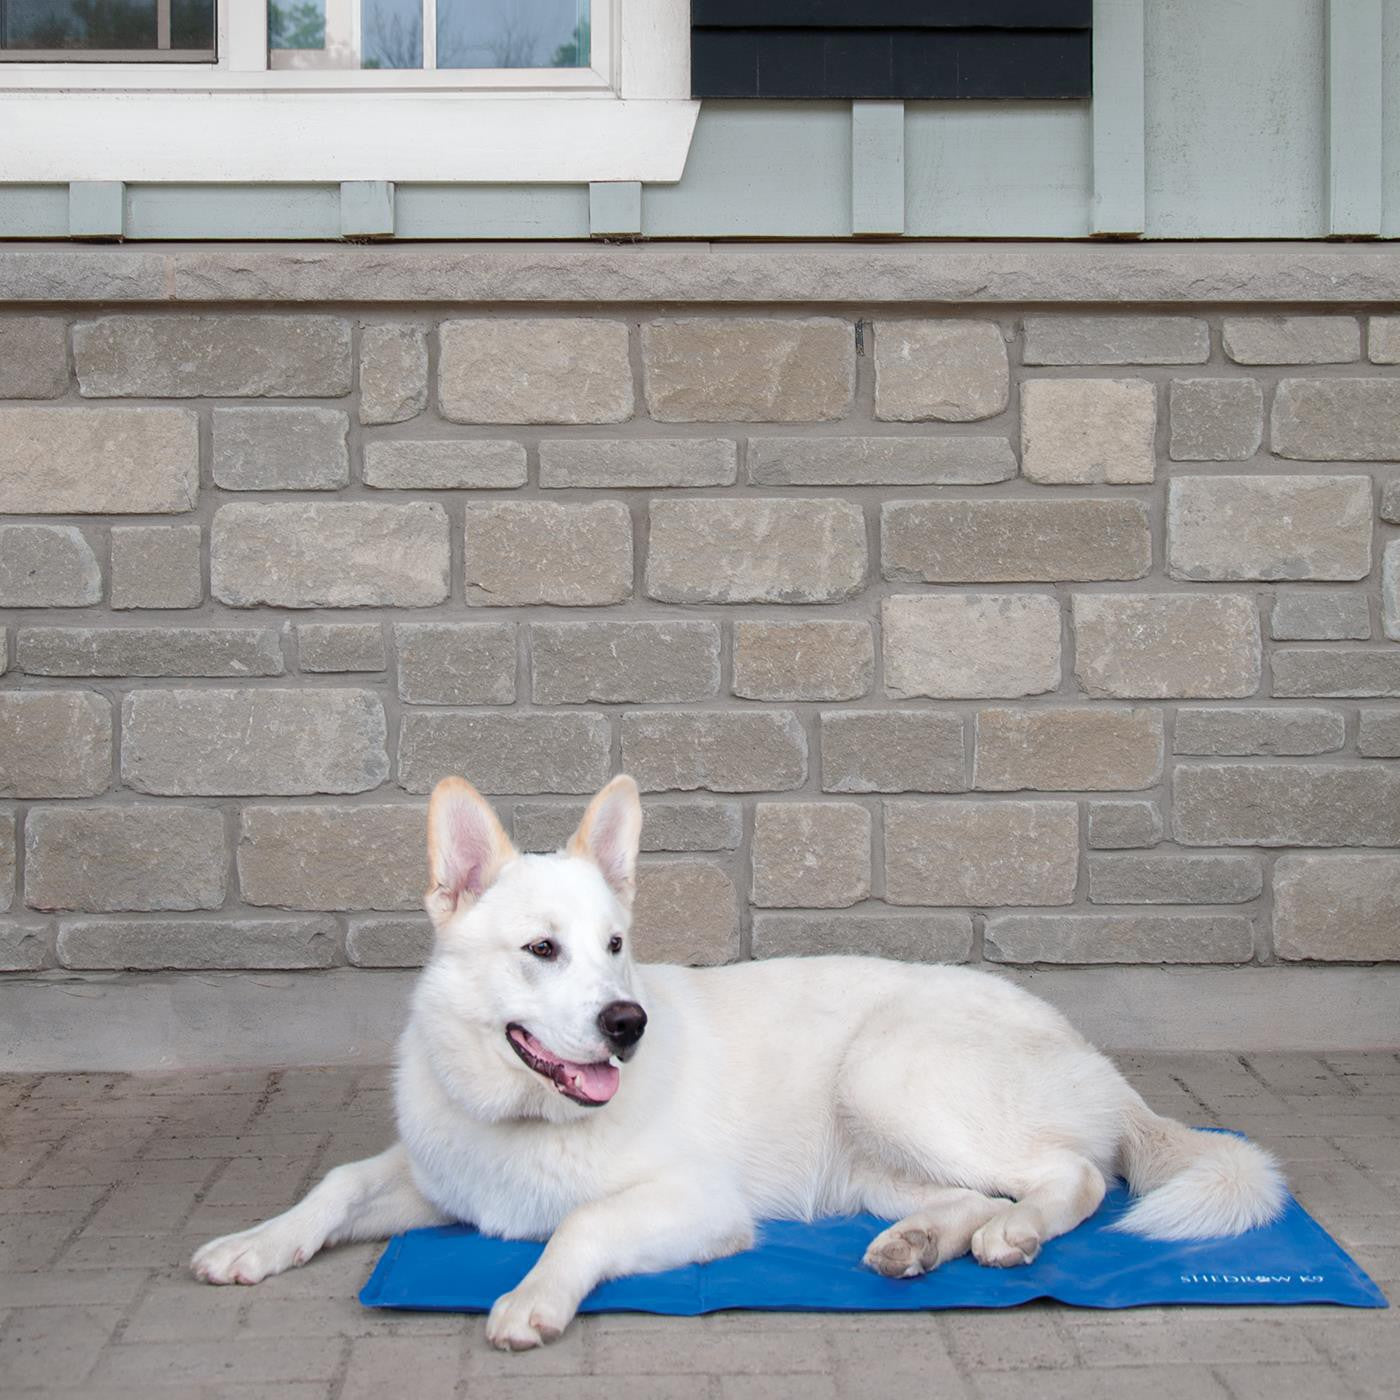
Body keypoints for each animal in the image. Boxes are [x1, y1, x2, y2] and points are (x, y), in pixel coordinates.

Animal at [191, 772, 1282, 1349]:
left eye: (616, 943)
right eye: (542, 948)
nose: (626, 1023)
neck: (524, 1117)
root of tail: (1095, 1056)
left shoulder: (695, 1204)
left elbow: (582, 1223)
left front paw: (534, 1296)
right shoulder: (433, 1180)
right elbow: (335, 1183)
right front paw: (255, 1242)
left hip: (889, 1074)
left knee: (1074, 1177)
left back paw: (1014, 1237)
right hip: (875, 1164)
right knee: (978, 1195)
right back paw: (920, 1245)